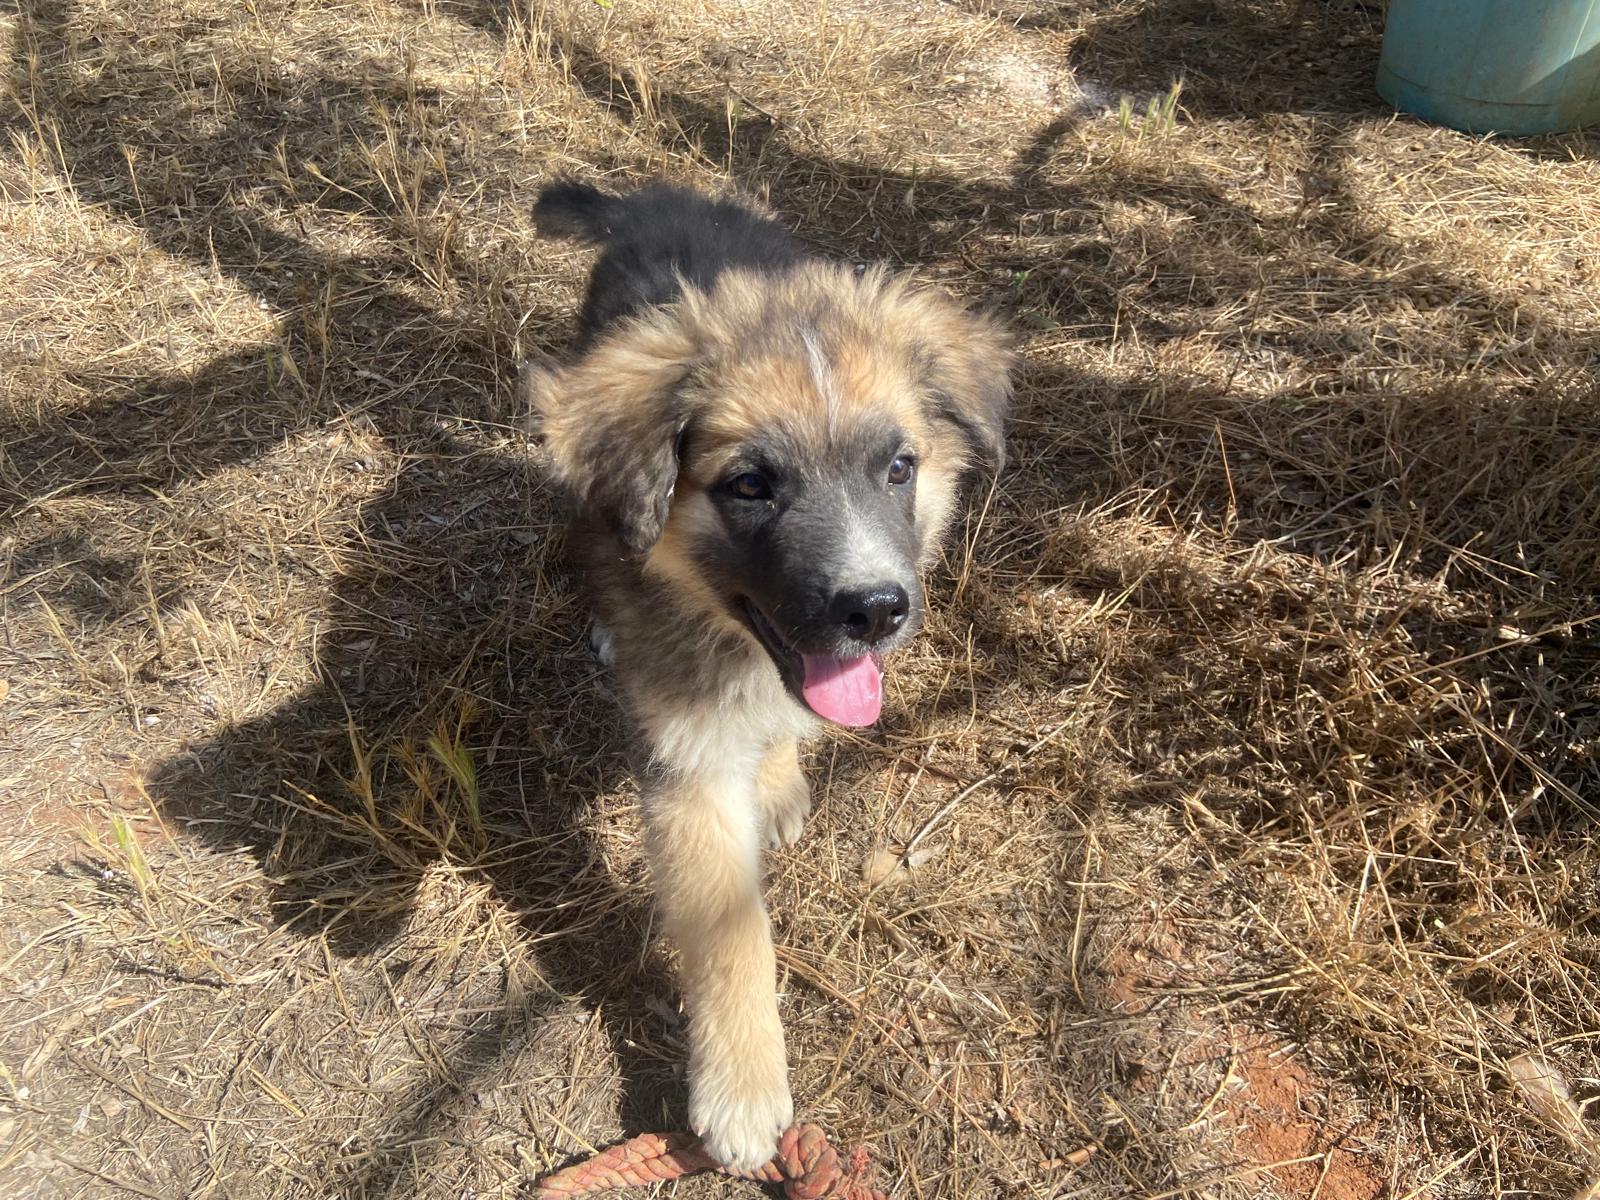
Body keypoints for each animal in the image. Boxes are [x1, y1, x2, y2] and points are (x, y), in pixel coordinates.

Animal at [524, 180, 1012, 1169]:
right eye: (750, 485)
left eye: (898, 468)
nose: (876, 610)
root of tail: (656, 199)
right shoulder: (691, 767)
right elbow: (732, 934)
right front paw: (742, 1090)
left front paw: (782, 773)